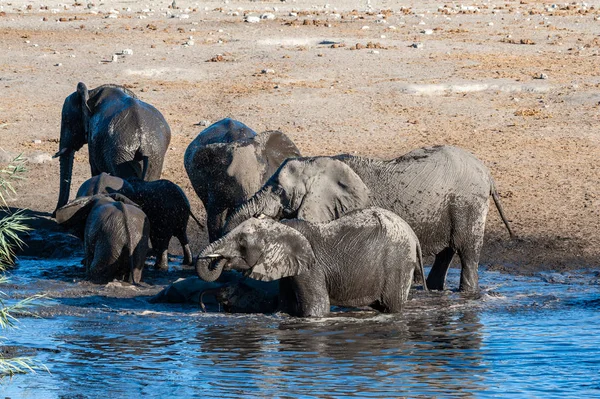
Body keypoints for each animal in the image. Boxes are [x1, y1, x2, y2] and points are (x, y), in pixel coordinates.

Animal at [54, 82, 171, 216]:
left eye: (67, 121)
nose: (54, 214)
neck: (91, 92)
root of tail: (142, 138)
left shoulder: (92, 139)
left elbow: (95, 168)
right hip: (154, 153)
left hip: (120, 152)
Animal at [76, 173, 204, 270]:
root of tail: (181, 199)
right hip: (178, 215)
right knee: (181, 235)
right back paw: (186, 263)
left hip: (167, 213)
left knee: (164, 238)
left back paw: (160, 267)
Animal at [197, 209, 426, 318]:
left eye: (242, 243)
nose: (204, 306)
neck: (281, 227)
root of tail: (414, 235)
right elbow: (286, 306)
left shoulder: (311, 267)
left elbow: (317, 309)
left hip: (398, 260)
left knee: (392, 304)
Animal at [225, 147, 516, 294]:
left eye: (278, 190)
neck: (318, 162)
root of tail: (487, 173)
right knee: (447, 251)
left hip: (469, 202)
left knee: (467, 251)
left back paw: (466, 293)